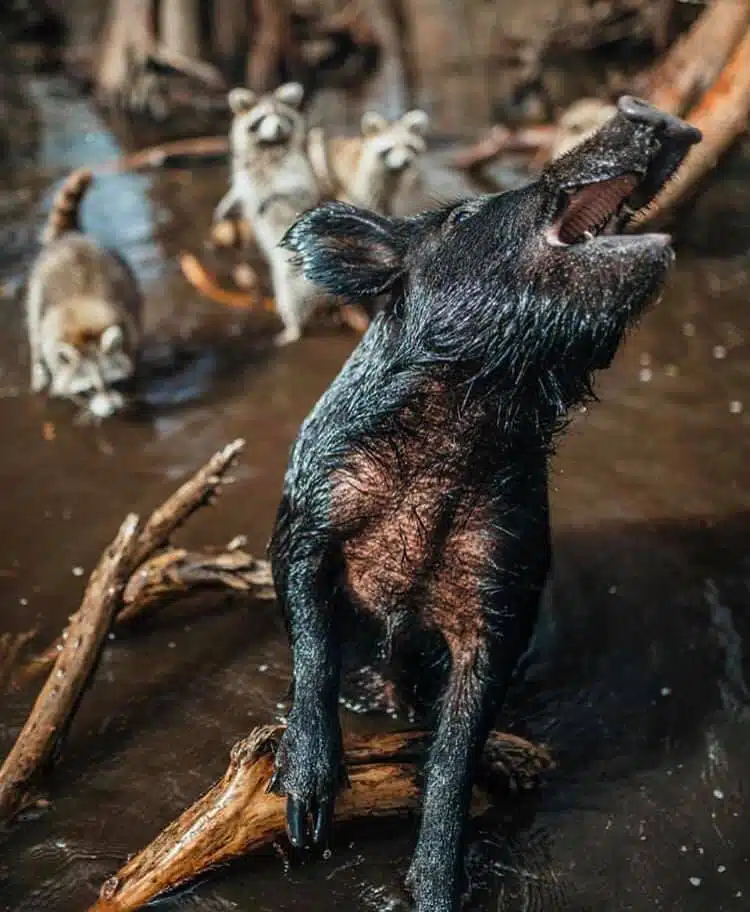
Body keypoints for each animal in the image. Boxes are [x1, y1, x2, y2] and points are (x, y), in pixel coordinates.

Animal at [26, 168, 142, 418]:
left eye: (113, 383)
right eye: (89, 389)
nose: (110, 412)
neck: (84, 332)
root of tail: (71, 236)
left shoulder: (127, 323)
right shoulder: (52, 337)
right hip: (35, 290)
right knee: (34, 330)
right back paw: (38, 368)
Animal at [214, 82, 326, 347]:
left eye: (282, 116)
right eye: (262, 118)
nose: (278, 127)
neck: (269, 148)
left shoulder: (297, 170)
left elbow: (297, 193)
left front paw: (273, 198)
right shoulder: (244, 171)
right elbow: (240, 188)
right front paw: (228, 202)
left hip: (296, 278)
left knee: (294, 300)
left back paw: (294, 329)